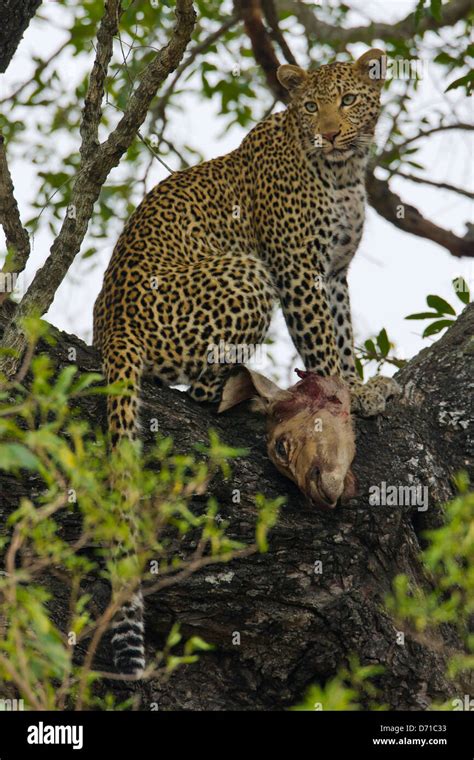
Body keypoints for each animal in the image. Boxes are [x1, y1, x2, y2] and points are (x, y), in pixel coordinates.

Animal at [93, 48, 400, 675]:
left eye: (349, 100)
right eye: (310, 106)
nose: (330, 131)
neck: (343, 172)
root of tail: (113, 328)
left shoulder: (334, 274)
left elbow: (345, 337)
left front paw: (362, 386)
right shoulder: (298, 271)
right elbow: (324, 346)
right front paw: (349, 394)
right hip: (248, 273)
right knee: (202, 391)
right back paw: (257, 394)